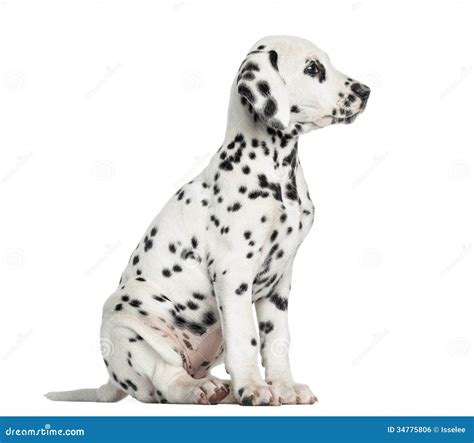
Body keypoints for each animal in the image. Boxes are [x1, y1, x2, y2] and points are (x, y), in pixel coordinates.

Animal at [45, 36, 370, 408]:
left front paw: (284, 387)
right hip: (123, 319)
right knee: (166, 380)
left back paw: (222, 387)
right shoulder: (233, 273)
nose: (366, 91)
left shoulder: (280, 281)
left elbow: (277, 340)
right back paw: (200, 389)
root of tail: (111, 382)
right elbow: (246, 338)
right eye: (312, 68)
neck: (275, 171)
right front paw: (254, 388)